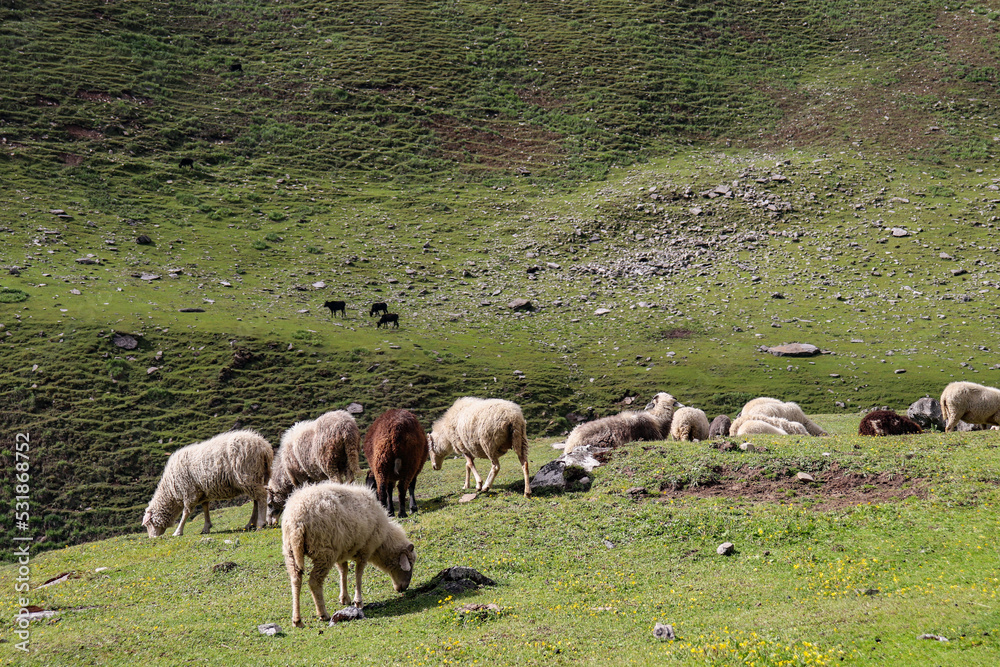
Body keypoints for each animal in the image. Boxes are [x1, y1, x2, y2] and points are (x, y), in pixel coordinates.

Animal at [142, 430, 273, 538]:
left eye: (148, 523)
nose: (152, 538)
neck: (171, 490)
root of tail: (264, 447)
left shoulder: (189, 492)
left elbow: (186, 513)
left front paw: (178, 531)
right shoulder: (202, 492)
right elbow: (205, 508)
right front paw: (206, 527)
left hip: (247, 475)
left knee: (261, 497)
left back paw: (260, 524)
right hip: (258, 476)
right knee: (256, 500)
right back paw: (250, 524)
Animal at [282, 481, 416, 627]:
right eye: (410, 564)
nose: (404, 588)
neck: (383, 541)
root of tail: (297, 521)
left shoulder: (342, 553)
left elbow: (343, 572)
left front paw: (344, 598)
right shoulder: (365, 550)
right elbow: (358, 575)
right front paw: (358, 601)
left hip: (290, 552)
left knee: (296, 580)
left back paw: (297, 620)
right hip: (324, 552)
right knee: (314, 582)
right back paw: (323, 614)